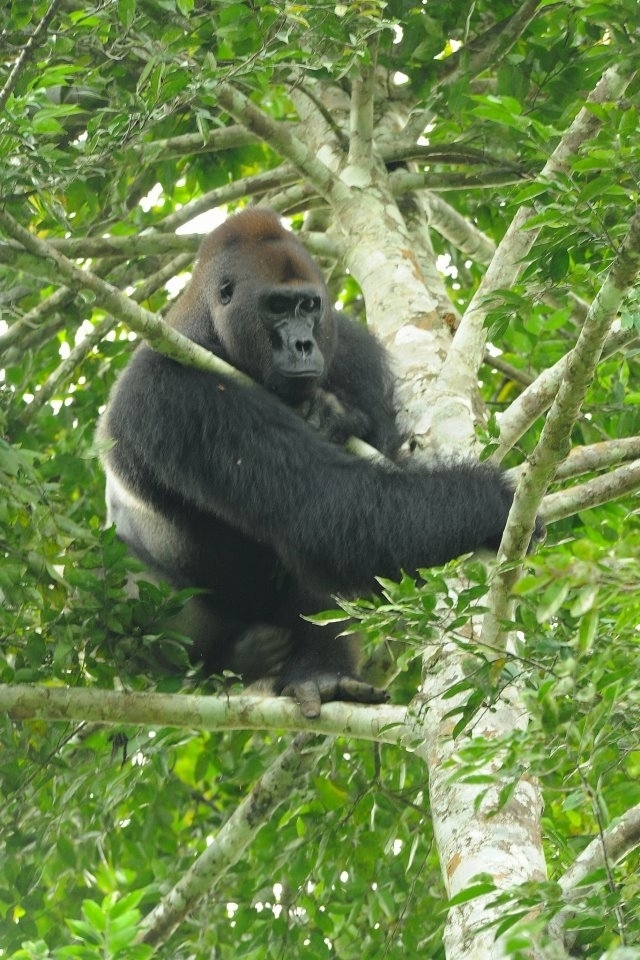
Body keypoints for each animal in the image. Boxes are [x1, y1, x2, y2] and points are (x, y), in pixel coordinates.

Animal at [100, 206, 516, 716]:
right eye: (277, 307)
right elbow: (328, 508)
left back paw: (322, 673)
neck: (209, 328)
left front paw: (336, 415)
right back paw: (235, 656)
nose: (302, 345)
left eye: (309, 307)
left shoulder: (351, 343)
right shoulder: (169, 387)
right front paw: (490, 503)